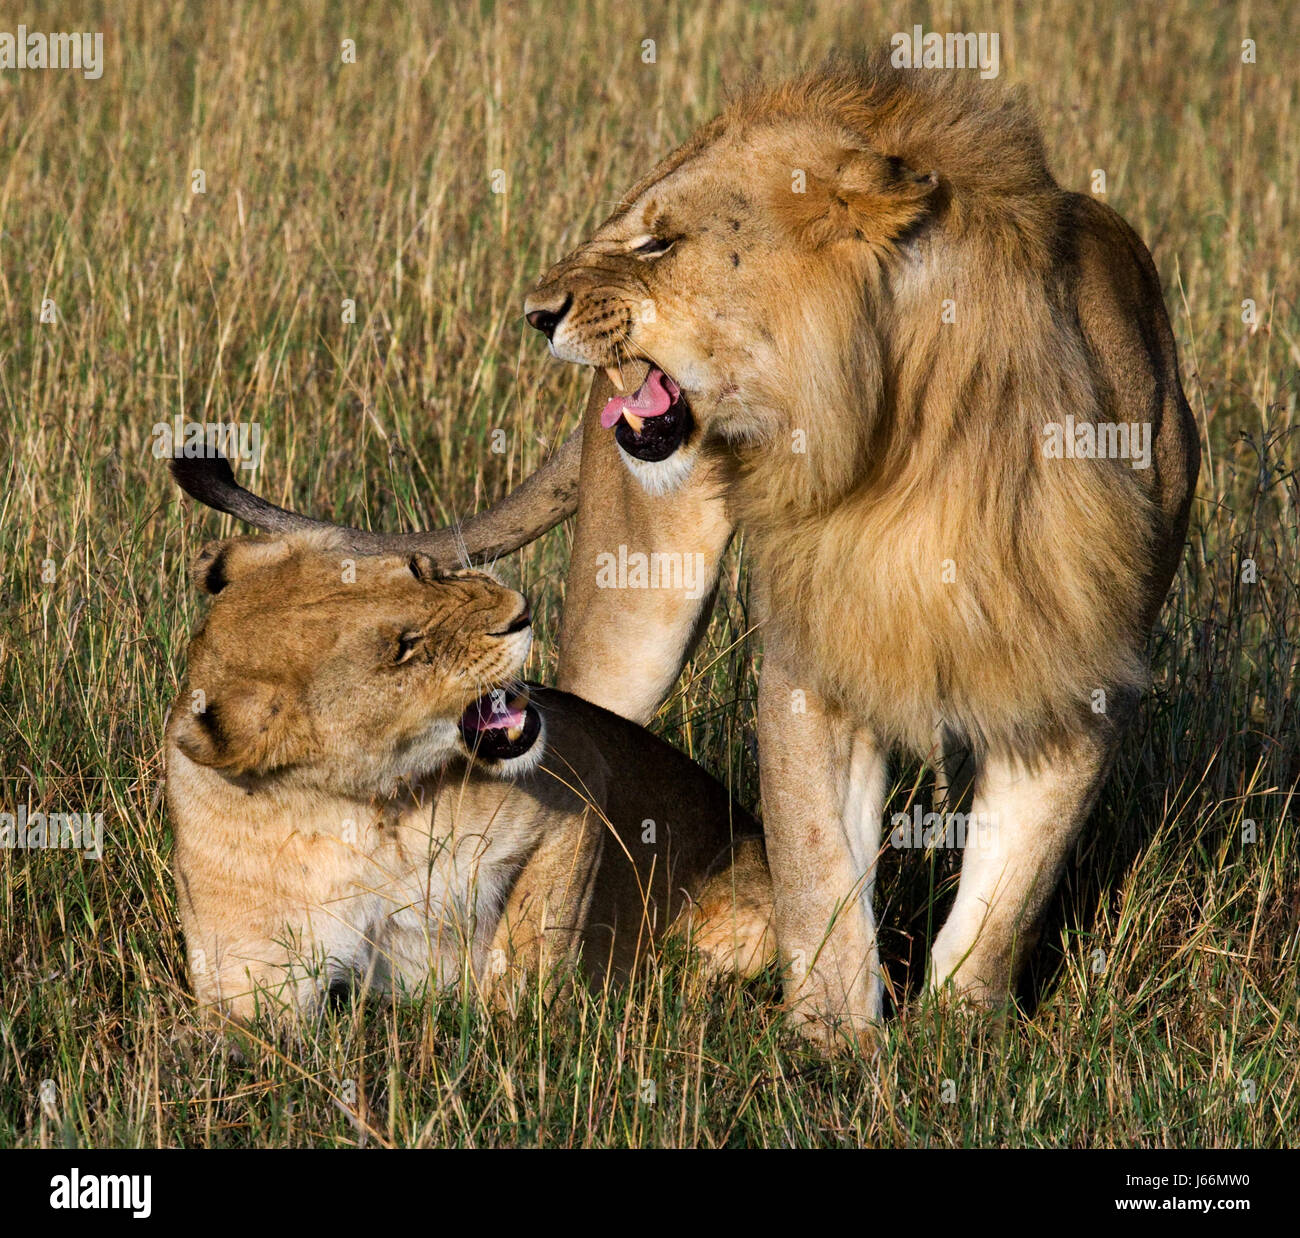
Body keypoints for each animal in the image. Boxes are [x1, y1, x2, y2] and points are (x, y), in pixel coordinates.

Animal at [165, 532, 771, 1022]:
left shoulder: (577, 785)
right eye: (404, 649)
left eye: (419, 568)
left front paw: (514, 1035)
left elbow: (532, 941)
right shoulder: (244, 983)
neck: (360, 810)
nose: (521, 613)